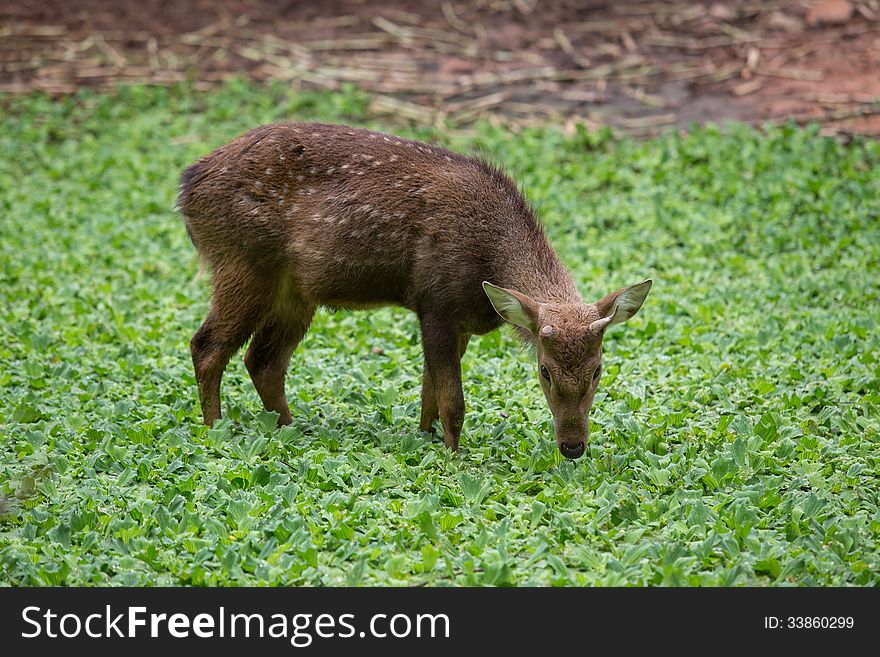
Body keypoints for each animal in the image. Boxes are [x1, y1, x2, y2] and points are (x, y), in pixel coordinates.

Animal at [175, 124, 648, 462]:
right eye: (544, 371)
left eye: (599, 371)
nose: (573, 446)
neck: (487, 261)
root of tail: (186, 188)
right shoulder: (435, 302)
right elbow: (452, 400)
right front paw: (455, 457)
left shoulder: (457, 319)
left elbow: (428, 392)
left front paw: (424, 439)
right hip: (243, 263)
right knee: (207, 345)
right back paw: (215, 430)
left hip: (295, 292)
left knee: (262, 359)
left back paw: (290, 428)